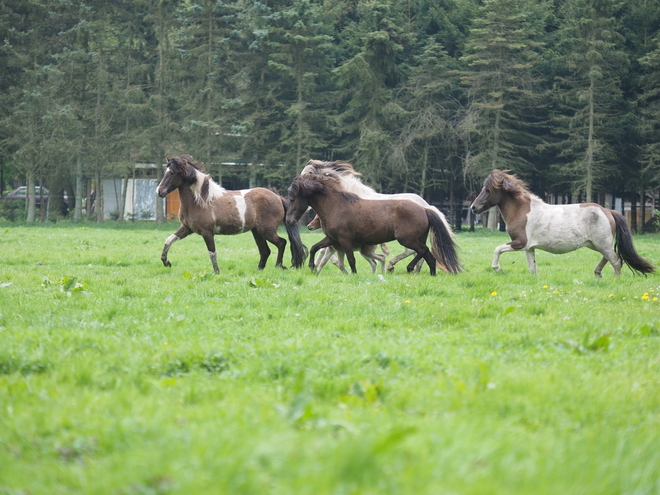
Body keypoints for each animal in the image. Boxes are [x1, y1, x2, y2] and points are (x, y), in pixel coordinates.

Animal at [157, 154, 306, 274]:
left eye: (172, 173)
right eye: (165, 171)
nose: (159, 191)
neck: (200, 201)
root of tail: (278, 198)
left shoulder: (207, 232)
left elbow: (212, 252)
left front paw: (217, 272)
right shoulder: (187, 228)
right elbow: (168, 240)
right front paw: (166, 262)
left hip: (266, 231)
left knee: (281, 243)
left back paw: (278, 266)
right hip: (257, 231)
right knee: (265, 250)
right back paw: (259, 270)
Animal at [286, 173, 462, 276]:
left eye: (293, 199)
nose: (289, 220)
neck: (336, 206)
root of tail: (425, 209)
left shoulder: (344, 240)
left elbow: (351, 260)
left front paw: (354, 275)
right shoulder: (332, 239)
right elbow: (315, 248)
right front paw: (311, 266)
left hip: (407, 239)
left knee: (423, 252)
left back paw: (410, 269)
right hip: (416, 239)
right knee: (424, 253)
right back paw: (421, 271)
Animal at [470, 170, 656, 280]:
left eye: (488, 190)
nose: (473, 208)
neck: (522, 211)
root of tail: (607, 211)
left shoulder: (520, 243)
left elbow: (497, 249)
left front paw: (497, 268)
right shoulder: (529, 248)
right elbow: (532, 268)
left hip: (601, 243)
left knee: (616, 260)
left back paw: (615, 280)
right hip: (596, 244)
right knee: (610, 257)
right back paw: (597, 274)